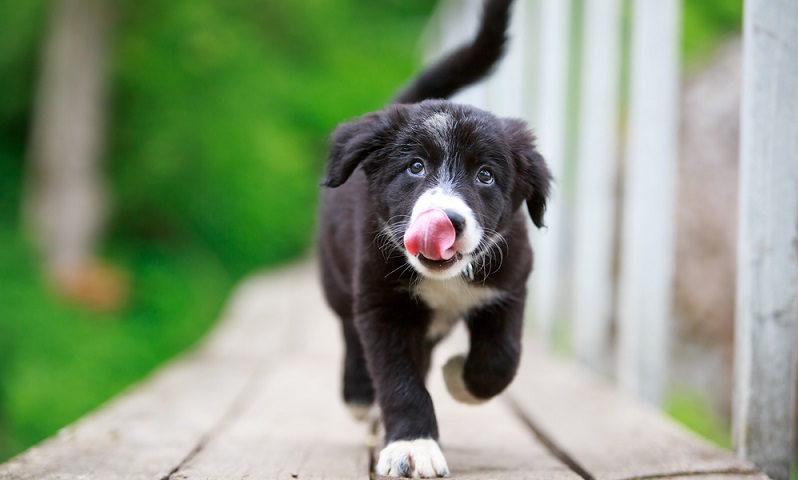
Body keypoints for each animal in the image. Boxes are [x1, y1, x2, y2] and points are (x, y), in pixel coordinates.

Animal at [318, 1, 552, 478]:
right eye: (415, 167)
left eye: (486, 175)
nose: (445, 222)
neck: (446, 279)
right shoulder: (381, 305)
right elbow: (399, 381)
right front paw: (412, 445)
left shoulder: (509, 286)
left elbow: (501, 359)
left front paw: (459, 377)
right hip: (335, 278)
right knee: (349, 331)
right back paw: (360, 396)